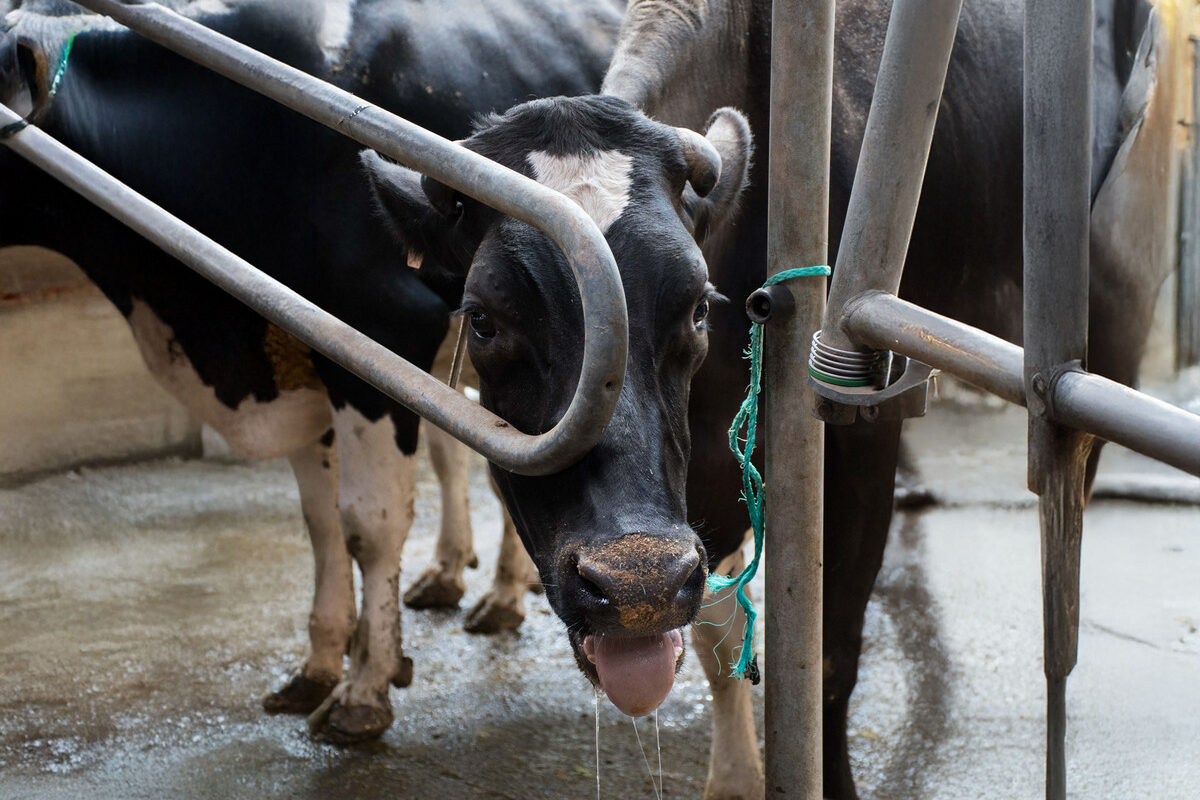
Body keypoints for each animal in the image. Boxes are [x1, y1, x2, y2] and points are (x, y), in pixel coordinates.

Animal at [0, 0, 622, 744]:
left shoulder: (382, 330)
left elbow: (369, 523)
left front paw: (365, 687)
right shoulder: (302, 344)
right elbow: (322, 522)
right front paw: (322, 662)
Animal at [362, 0, 1175, 796]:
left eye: (697, 306)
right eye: (485, 319)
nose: (635, 583)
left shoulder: (856, 430)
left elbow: (830, 655)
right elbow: (716, 634)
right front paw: (732, 776)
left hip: (1109, 316)